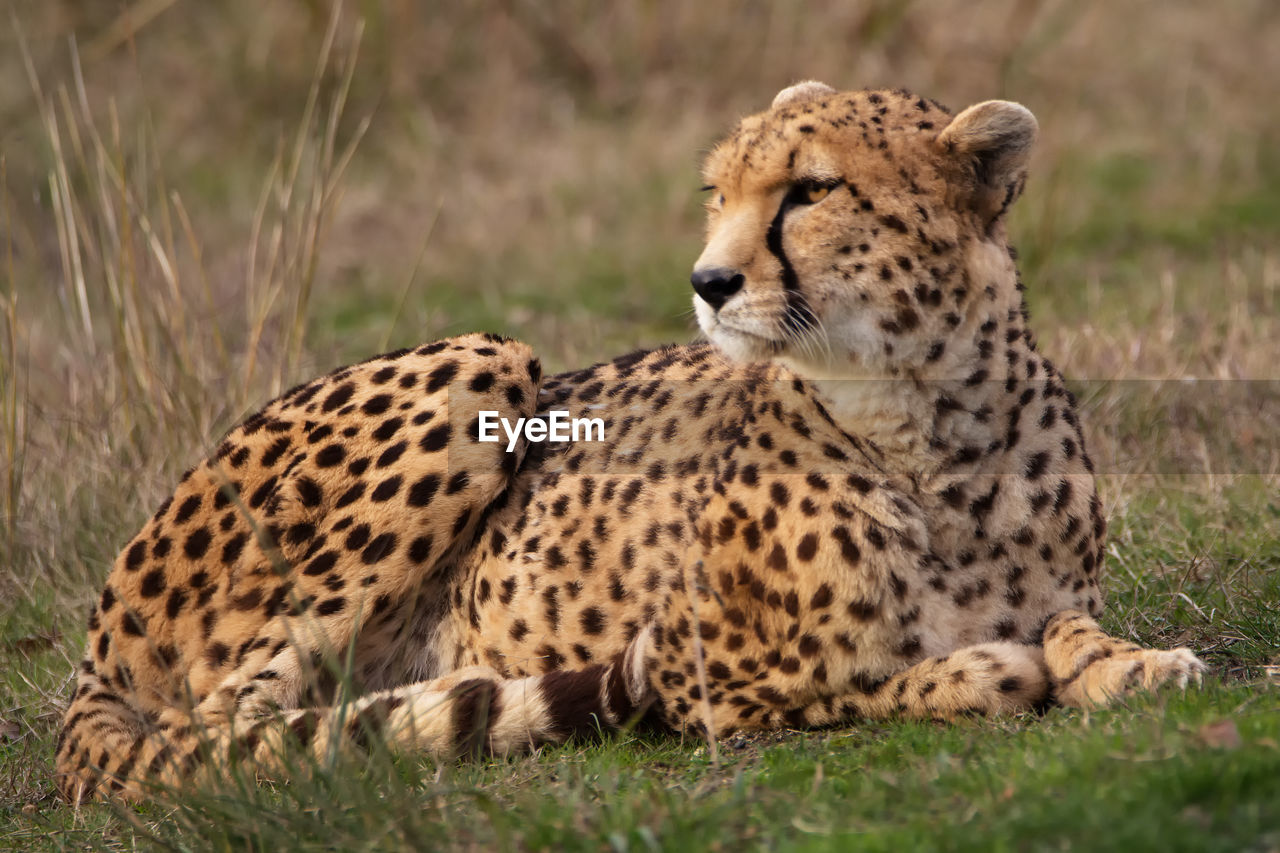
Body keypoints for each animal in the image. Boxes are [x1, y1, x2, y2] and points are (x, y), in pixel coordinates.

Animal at [57, 79, 1198, 799]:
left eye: (811, 190)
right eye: (717, 193)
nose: (709, 280)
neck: (928, 426)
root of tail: (97, 635)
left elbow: (1069, 628)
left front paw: (1132, 664)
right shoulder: (704, 674)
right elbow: (870, 679)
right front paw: (982, 671)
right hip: (479, 361)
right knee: (213, 730)